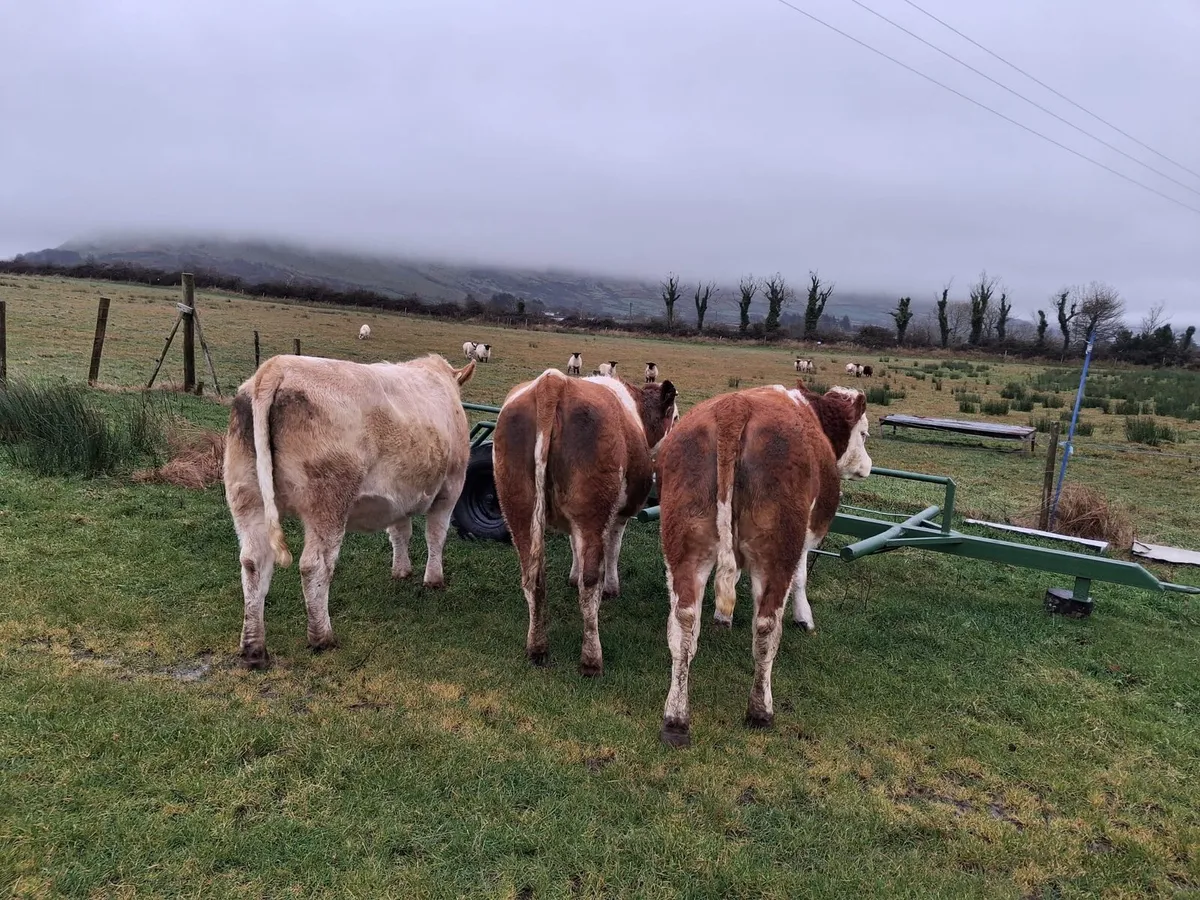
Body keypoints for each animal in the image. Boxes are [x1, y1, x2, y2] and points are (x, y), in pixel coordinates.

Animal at [223, 353, 477, 670]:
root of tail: (276, 366)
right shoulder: (451, 487)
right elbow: (436, 536)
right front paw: (433, 579)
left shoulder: (399, 496)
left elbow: (400, 532)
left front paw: (401, 570)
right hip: (328, 501)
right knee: (314, 566)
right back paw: (322, 638)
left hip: (245, 493)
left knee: (253, 563)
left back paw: (254, 649)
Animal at [492, 370, 679, 676]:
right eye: (674, 417)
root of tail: (553, 382)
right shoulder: (618, 515)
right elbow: (613, 549)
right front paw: (612, 588)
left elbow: (572, 547)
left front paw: (571, 574)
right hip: (591, 513)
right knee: (589, 584)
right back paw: (591, 659)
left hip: (518, 509)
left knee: (532, 578)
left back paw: (537, 647)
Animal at [654, 383, 871, 747]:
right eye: (865, 433)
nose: (868, 466)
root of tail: (733, 408)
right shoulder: (803, 539)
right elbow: (801, 579)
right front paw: (804, 618)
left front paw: (723, 618)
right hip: (777, 549)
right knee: (766, 627)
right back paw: (760, 710)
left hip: (683, 545)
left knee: (683, 624)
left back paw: (676, 718)